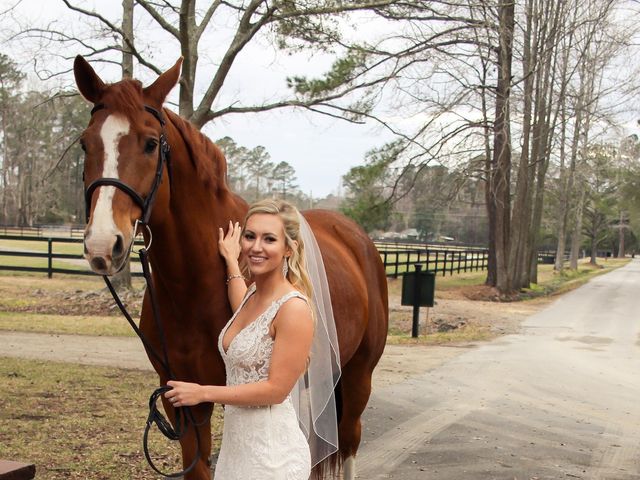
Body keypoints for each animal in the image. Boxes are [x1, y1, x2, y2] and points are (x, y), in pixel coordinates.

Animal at [72, 56, 388, 480]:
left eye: (150, 143)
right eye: (85, 142)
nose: (103, 245)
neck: (194, 287)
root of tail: (356, 237)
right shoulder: (183, 401)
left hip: (358, 377)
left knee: (349, 440)